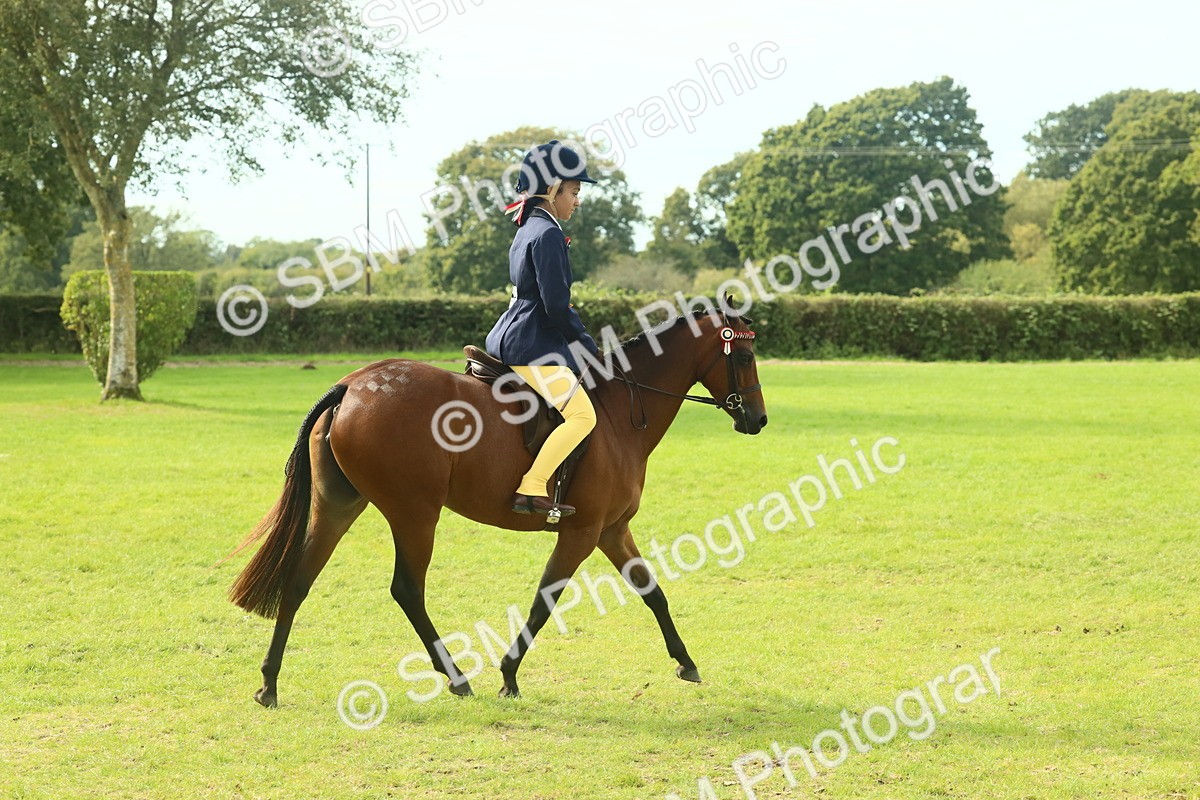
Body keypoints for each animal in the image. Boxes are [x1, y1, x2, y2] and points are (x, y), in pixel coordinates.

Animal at [228, 306, 767, 707]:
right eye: (743, 354)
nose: (758, 420)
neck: (620, 414)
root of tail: (353, 384)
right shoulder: (582, 532)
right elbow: (545, 600)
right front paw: (508, 675)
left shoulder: (612, 530)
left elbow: (653, 592)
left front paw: (686, 661)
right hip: (415, 513)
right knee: (407, 590)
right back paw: (456, 677)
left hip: (339, 507)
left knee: (299, 580)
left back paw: (269, 683)